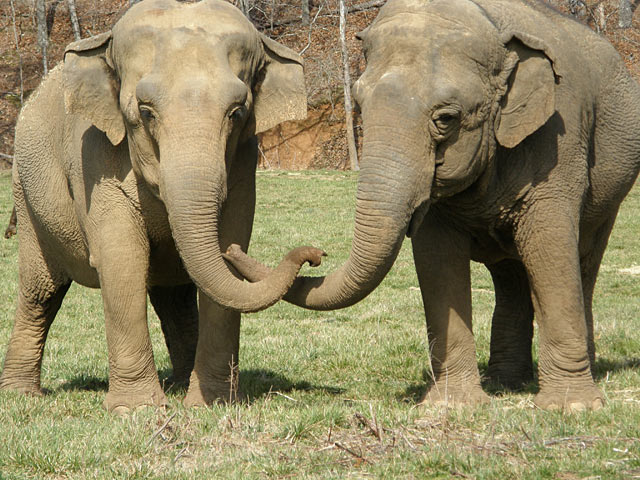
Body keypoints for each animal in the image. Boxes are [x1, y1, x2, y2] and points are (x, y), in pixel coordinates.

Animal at [0, 0, 324, 412]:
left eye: (237, 112)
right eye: (145, 111)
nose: (315, 255)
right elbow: (122, 261)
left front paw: (211, 404)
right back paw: (21, 394)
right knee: (40, 290)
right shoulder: (93, 157)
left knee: (174, 296)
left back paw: (183, 382)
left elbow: (222, 260)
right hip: (26, 195)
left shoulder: (243, 164)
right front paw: (136, 410)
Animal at [225, 0, 640, 412]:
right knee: (510, 275)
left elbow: (550, 248)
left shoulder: (559, 140)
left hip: (611, 193)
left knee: (581, 262)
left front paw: (572, 408)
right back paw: (506, 381)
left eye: (446, 118)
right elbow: (437, 260)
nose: (316, 254)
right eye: (358, 104)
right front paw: (453, 406)